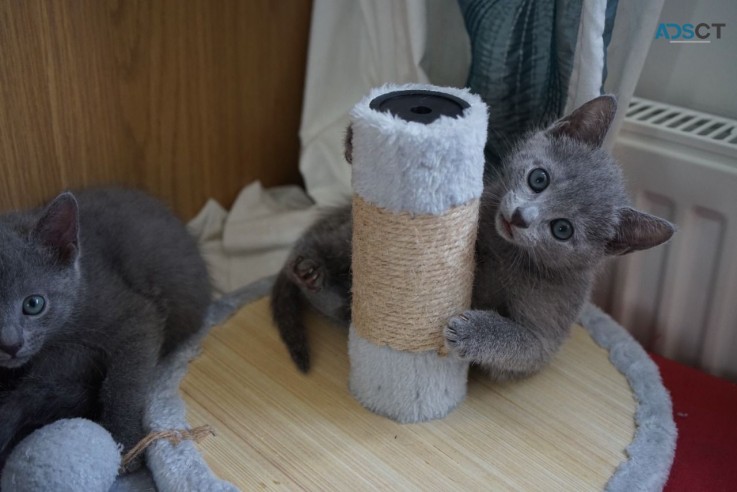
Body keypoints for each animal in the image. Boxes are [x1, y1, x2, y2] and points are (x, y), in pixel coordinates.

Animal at [268, 94, 672, 376]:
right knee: (327, 254)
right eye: (538, 178)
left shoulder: (548, 332)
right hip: (348, 235)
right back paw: (310, 268)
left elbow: (522, 346)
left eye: (562, 229)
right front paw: (359, 141)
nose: (520, 218)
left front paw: (472, 333)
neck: (506, 252)